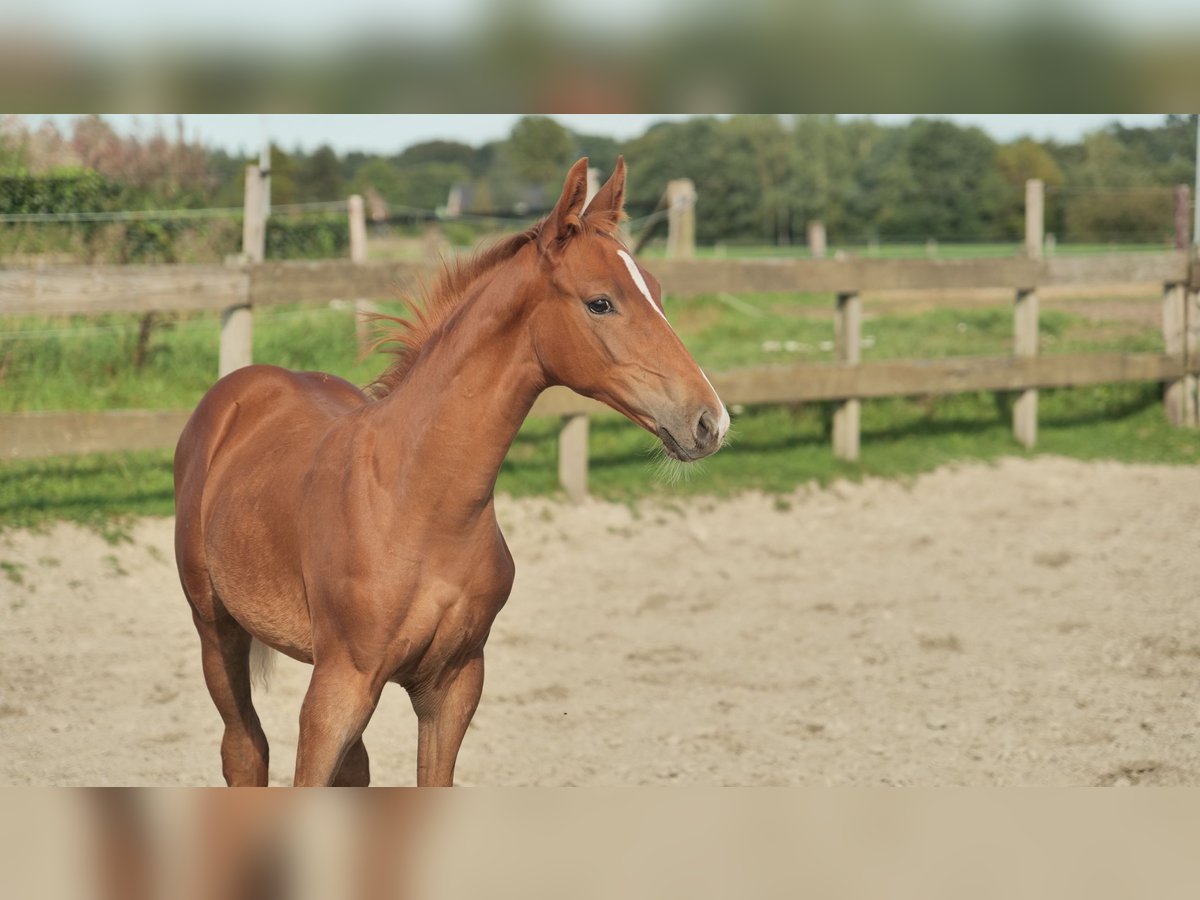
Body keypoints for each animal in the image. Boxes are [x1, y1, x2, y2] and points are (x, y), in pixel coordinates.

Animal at [170, 158, 729, 787]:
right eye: (600, 302)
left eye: (655, 290)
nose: (709, 420)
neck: (419, 502)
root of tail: (239, 389)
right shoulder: (339, 685)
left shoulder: (454, 683)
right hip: (216, 628)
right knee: (244, 748)